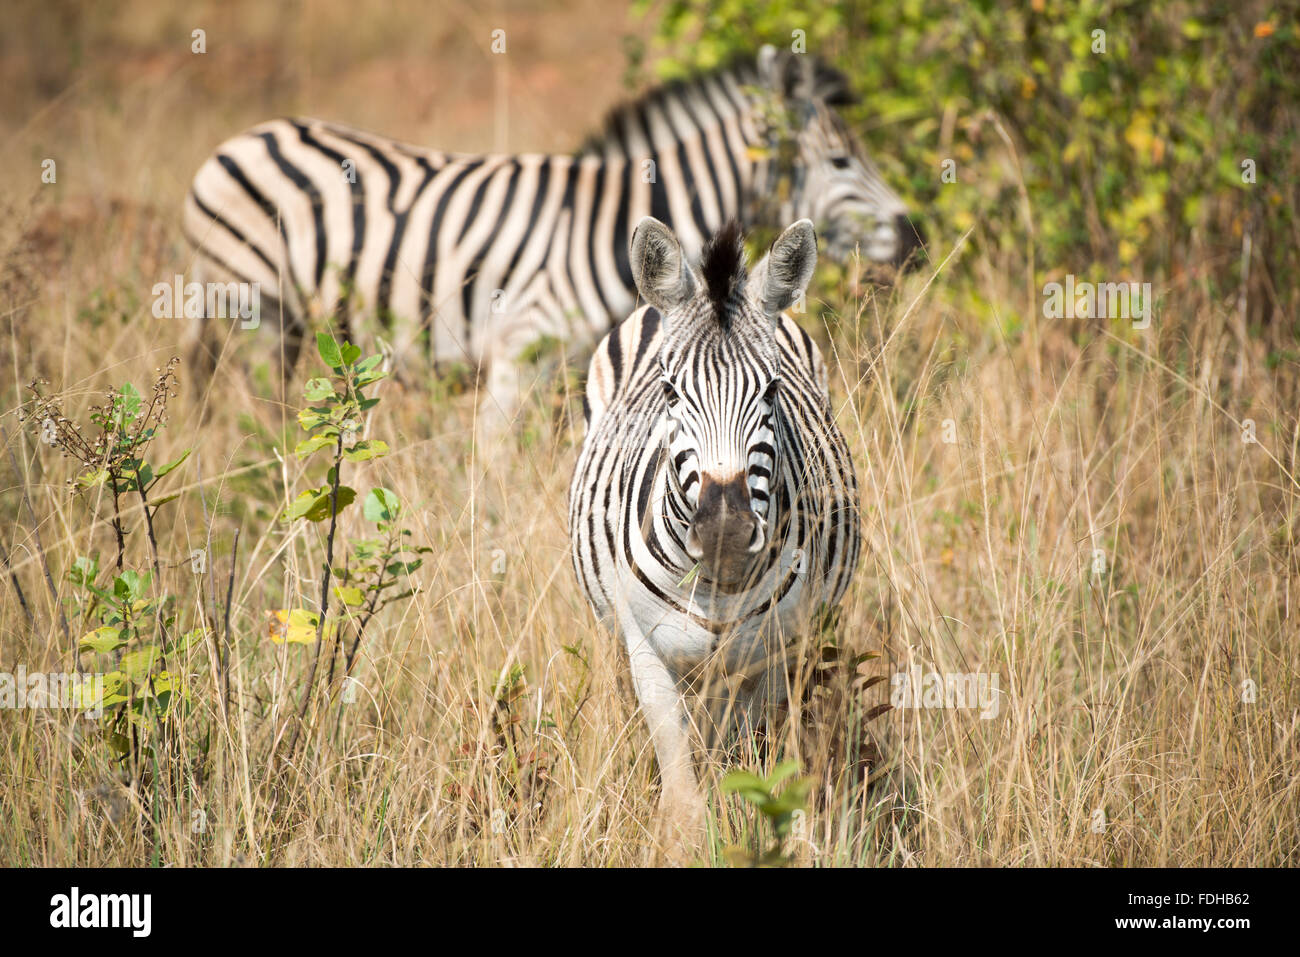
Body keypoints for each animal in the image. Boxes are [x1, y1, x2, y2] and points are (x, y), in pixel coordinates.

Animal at [185, 42, 925, 434]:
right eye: (841, 161)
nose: (916, 240)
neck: (614, 226)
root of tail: (241, 137)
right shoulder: (517, 355)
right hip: (256, 310)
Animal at [572, 218, 857, 832]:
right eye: (670, 391)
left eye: (772, 390)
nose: (724, 530)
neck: (719, 585)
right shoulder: (647, 649)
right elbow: (683, 793)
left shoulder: (775, 654)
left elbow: (753, 771)